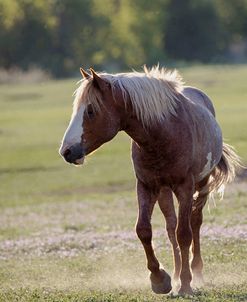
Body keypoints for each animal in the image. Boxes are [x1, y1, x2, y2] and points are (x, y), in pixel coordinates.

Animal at [58, 66, 240, 294]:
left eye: (90, 110)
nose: (66, 151)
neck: (162, 134)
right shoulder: (146, 186)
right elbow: (144, 230)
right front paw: (160, 279)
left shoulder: (185, 187)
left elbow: (185, 233)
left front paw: (186, 284)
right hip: (164, 191)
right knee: (171, 227)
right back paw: (177, 274)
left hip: (202, 184)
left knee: (194, 222)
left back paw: (195, 272)